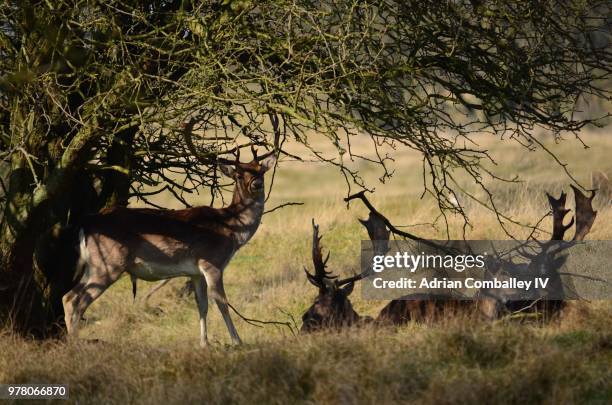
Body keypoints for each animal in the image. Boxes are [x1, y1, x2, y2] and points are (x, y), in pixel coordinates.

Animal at [61, 147, 274, 346]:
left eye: (261, 171)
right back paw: (75, 343)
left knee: (68, 296)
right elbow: (222, 302)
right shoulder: (212, 262)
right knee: (76, 300)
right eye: (239, 175)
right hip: (109, 263)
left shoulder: (196, 272)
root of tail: (86, 224)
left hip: (94, 265)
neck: (232, 230)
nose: (257, 184)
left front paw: (204, 343)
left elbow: (202, 305)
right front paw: (237, 341)